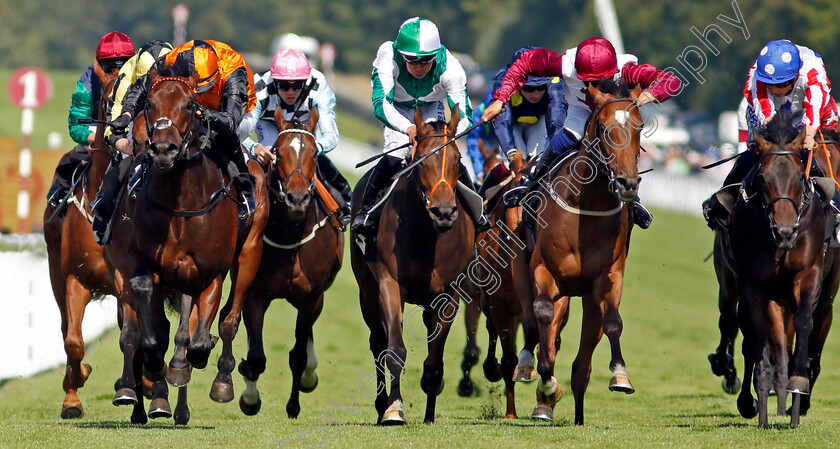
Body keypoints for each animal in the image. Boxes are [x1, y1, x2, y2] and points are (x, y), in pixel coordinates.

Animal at [105, 73, 268, 424]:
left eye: (191, 105)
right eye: (149, 105)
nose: (163, 149)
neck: (181, 204)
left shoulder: (209, 272)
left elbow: (200, 338)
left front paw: (195, 359)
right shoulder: (141, 261)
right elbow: (147, 315)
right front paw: (153, 362)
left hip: (250, 251)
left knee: (229, 318)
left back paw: (220, 379)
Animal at [235, 105, 342, 416]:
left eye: (315, 154)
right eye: (278, 153)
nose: (296, 198)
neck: (290, 235)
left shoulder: (312, 297)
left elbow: (297, 356)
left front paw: (294, 403)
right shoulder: (256, 293)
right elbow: (256, 356)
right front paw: (249, 397)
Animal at [352, 107, 476, 422]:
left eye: (457, 159)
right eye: (423, 159)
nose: (444, 212)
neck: (426, 236)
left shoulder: (449, 295)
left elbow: (434, 361)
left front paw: (429, 413)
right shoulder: (388, 284)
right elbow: (394, 349)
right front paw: (394, 409)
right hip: (366, 290)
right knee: (377, 343)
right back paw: (381, 404)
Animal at [520, 81, 648, 424]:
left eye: (639, 127)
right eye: (603, 127)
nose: (627, 182)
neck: (585, 206)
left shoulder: (607, 277)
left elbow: (613, 321)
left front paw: (620, 375)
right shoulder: (543, 271)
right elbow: (542, 316)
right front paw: (547, 382)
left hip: (587, 301)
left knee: (582, 365)